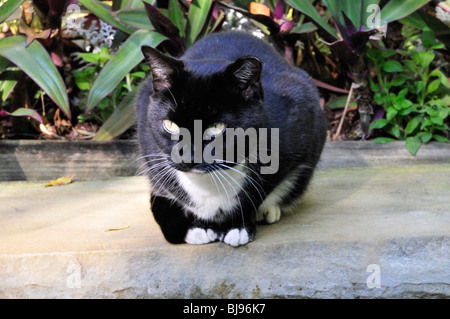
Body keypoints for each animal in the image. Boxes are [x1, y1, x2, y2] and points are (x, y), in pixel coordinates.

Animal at [135, 31, 326, 248]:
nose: (188, 158)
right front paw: (193, 229)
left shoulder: (299, 113)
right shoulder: (148, 143)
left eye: (216, 127)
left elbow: (259, 187)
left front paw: (237, 226)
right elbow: (161, 198)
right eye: (171, 125)